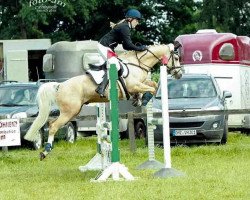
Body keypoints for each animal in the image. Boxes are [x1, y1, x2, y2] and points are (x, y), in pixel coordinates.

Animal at [24, 43, 183, 160]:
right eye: (176, 57)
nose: (179, 74)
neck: (138, 64)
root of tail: (60, 85)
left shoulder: (139, 84)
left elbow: (152, 84)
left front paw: (138, 100)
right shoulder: (133, 85)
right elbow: (152, 88)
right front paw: (144, 99)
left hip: (72, 111)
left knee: (52, 124)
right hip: (70, 111)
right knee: (53, 126)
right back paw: (45, 152)